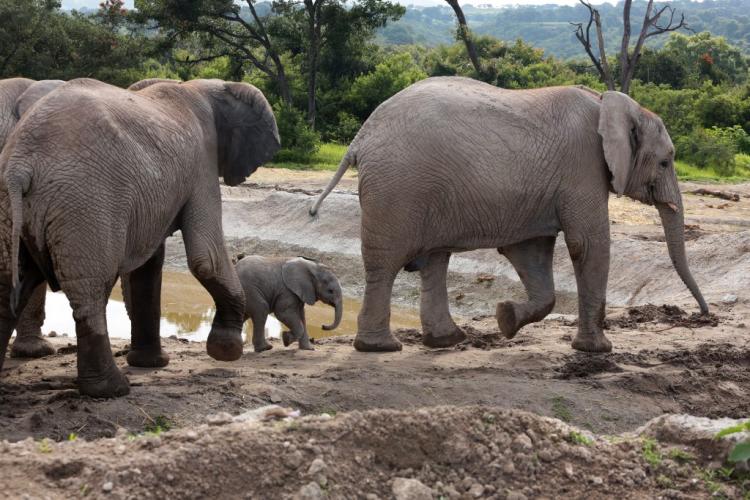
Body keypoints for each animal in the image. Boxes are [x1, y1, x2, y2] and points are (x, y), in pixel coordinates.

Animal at [0, 79, 282, 398]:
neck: (209, 87)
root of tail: (20, 166)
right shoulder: (202, 164)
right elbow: (206, 256)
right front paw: (226, 350)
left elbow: (149, 264)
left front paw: (151, 363)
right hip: (84, 206)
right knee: (91, 287)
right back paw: (112, 389)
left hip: (14, 205)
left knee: (6, 287)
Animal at [312, 76, 712, 354]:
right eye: (665, 162)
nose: (704, 315)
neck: (610, 103)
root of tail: (361, 137)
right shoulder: (582, 168)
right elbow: (587, 244)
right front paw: (597, 351)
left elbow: (530, 253)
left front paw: (505, 319)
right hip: (399, 187)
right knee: (386, 263)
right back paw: (379, 348)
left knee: (435, 260)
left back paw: (447, 340)